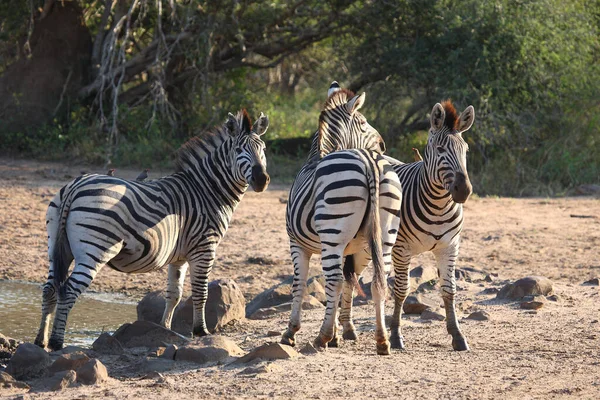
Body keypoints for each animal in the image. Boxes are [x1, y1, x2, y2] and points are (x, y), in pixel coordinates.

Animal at [35, 109, 270, 350]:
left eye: (263, 149)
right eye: (239, 150)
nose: (261, 180)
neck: (207, 190)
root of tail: (75, 186)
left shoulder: (180, 255)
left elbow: (174, 294)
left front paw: (164, 329)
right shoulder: (205, 247)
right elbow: (200, 292)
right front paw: (201, 331)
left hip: (57, 246)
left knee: (49, 289)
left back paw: (40, 340)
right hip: (94, 249)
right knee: (68, 291)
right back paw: (56, 342)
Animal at [282, 83, 404, 354]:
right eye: (363, 122)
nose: (383, 145)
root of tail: (369, 160)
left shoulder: (297, 244)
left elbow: (301, 284)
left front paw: (292, 332)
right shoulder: (356, 249)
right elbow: (350, 283)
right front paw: (343, 331)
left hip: (332, 235)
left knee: (335, 281)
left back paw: (322, 336)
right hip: (385, 236)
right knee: (379, 281)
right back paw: (382, 340)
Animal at [338, 100, 474, 350]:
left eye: (466, 150)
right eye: (440, 149)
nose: (463, 191)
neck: (438, 206)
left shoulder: (450, 246)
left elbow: (449, 290)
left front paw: (458, 336)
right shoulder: (402, 249)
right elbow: (401, 290)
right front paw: (395, 335)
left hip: (366, 249)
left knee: (351, 276)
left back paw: (347, 328)